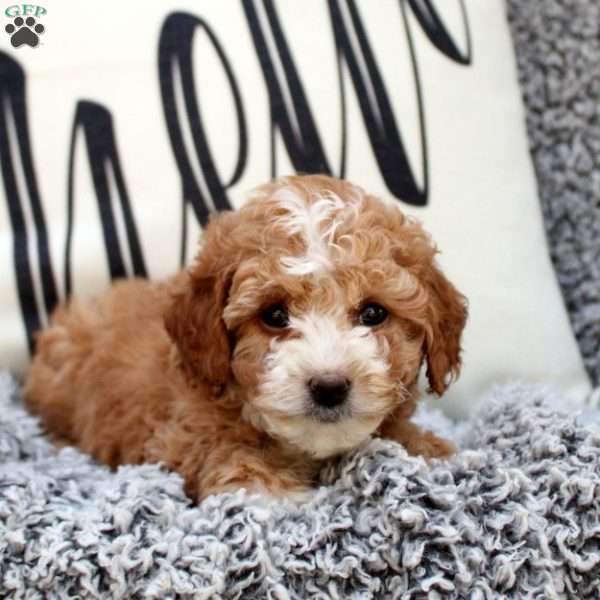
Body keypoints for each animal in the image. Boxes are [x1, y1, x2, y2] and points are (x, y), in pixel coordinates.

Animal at [24, 175, 468, 502]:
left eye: (373, 313)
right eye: (274, 316)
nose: (329, 387)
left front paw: (429, 449)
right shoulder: (180, 435)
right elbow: (229, 456)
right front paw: (274, 494)